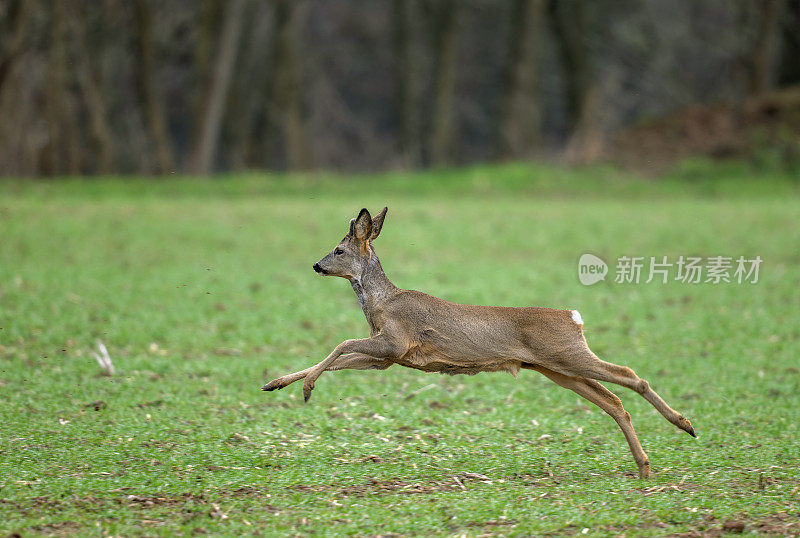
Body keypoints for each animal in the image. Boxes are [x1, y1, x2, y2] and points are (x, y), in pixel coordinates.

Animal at [262, 206, 692, 478]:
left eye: (338, 249)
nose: (316, 265)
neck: (380, 304)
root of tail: (574, 318)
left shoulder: (395, 343)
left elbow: (339, 344)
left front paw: (306, 388)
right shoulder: (386, 356)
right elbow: (337, 356)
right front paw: (275, 383)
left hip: (568, 354)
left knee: (630, 375)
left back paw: (683, 425)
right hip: (556, 368)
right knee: (613, 400)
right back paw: (645, 465)